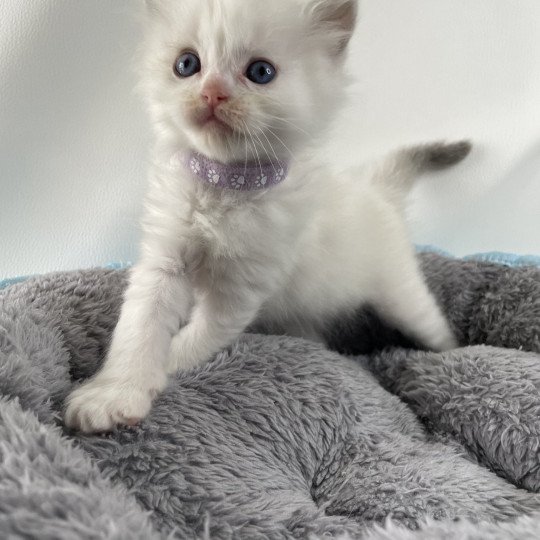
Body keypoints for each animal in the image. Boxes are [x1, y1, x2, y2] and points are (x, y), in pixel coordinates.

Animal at [65, 0, 470, 432]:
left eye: (260, 72)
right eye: (187, 64)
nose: (212, 93)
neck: (225, 186)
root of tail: (376, 189)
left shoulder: (238, 293)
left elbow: (191, 341)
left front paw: (162, 370)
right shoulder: (164, 263)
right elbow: (139, 330)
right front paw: (115, 392)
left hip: (403, 298)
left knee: (436, 328)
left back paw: (453, 353)